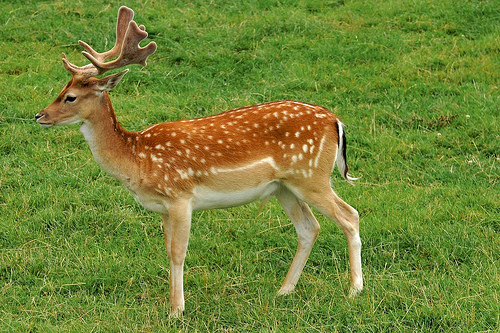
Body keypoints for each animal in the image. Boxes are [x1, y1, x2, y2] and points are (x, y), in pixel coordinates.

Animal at [36, 6, 364, 316]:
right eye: (61, 89)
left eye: (71, 97)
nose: (39, 115)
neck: (137, 158)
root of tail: (335, 121)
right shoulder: (163, 207)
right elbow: (167, 250)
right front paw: (172, 304)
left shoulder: (180, 197)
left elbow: (178, 252)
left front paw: (176, 310)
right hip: (283, 187)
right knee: (309, 227)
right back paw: (284, 291)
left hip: (311, 177)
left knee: (350, 215)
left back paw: (354, 290)